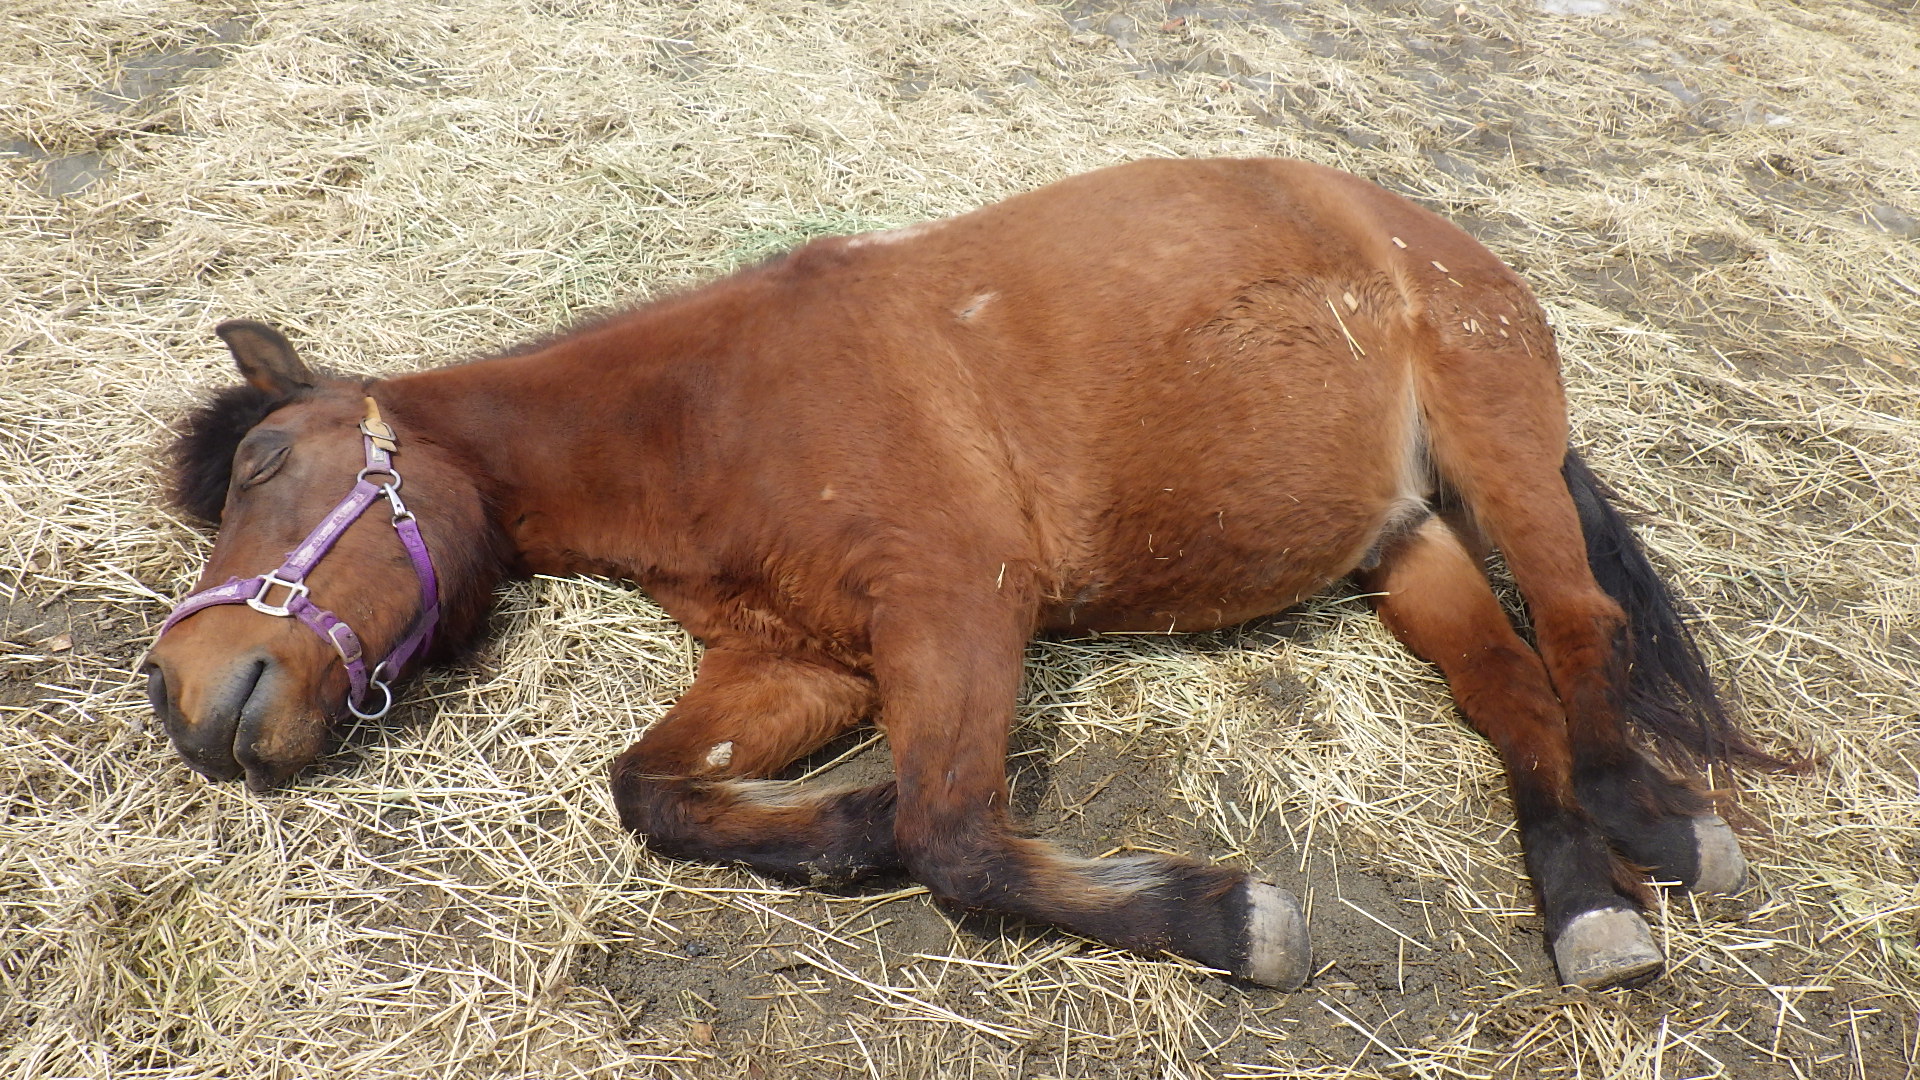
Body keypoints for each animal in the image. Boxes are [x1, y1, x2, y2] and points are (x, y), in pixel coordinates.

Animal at [142, 155, 1774, 991]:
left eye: (267, 465)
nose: (176, 691)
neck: (713, 416)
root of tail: (1406, 224)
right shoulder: (804, 660)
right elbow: (659, 794)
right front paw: (840, 823)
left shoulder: (961, 601)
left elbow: (961, 842)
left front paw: (1225, 917)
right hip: (1399, 537)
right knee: (1509, 687)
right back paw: (1588, 906)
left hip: (1499, 448)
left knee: (1581, 625)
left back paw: (1653, 826)